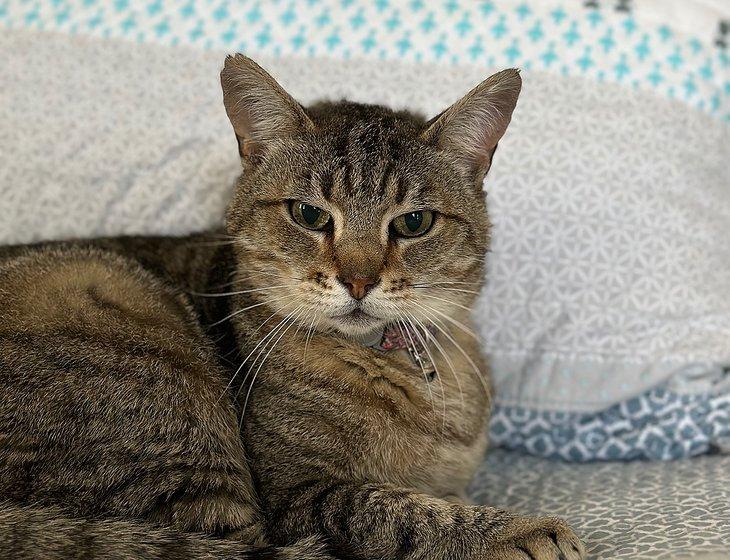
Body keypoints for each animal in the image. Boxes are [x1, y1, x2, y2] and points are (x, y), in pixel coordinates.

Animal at [0, 53, 584, 560]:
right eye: (309, 215)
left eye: (414, 222)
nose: (358, 280)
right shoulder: (300, 497)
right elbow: (397, 510)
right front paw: (521, 530)